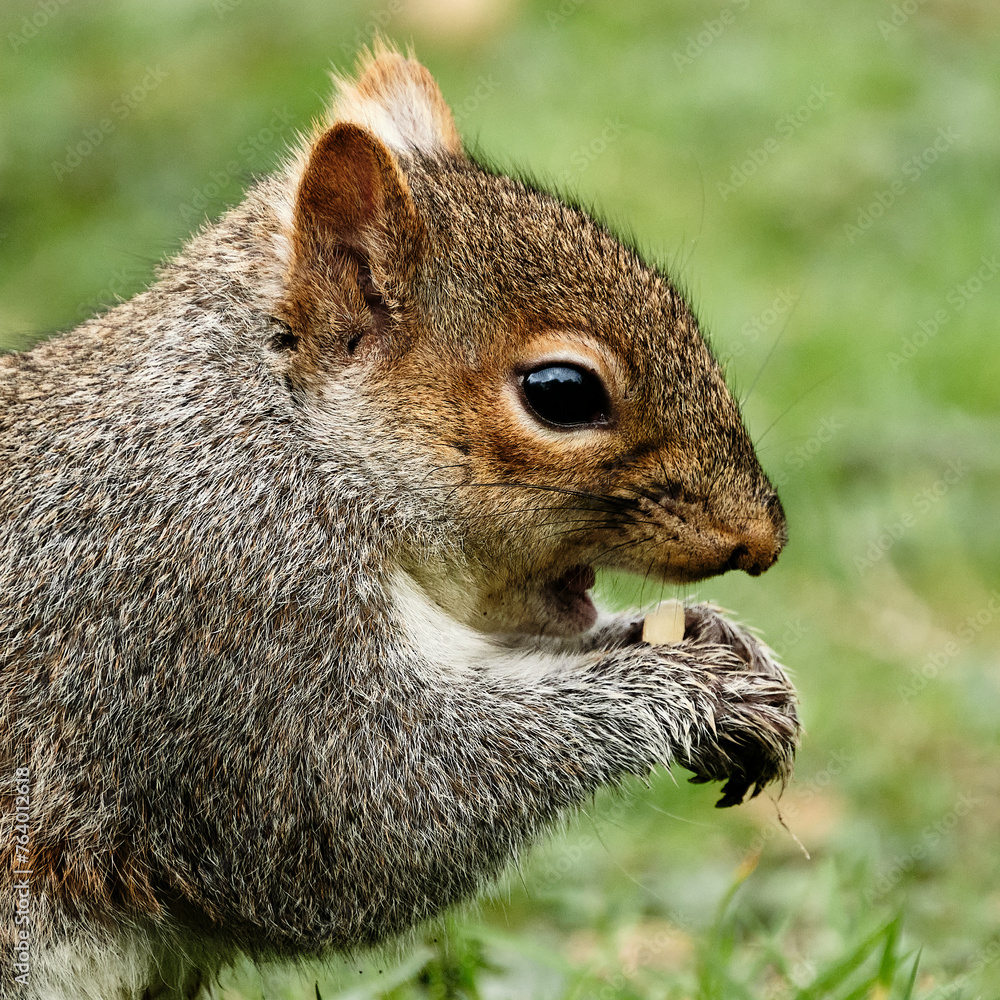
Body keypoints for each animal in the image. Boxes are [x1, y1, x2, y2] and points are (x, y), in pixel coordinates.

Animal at [0, 41, 798, 1000]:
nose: (762, 539)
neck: (288, 443)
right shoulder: (214, 619)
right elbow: (372, 816)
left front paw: (710, 639)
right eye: (561, 393)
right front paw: (689, 687)